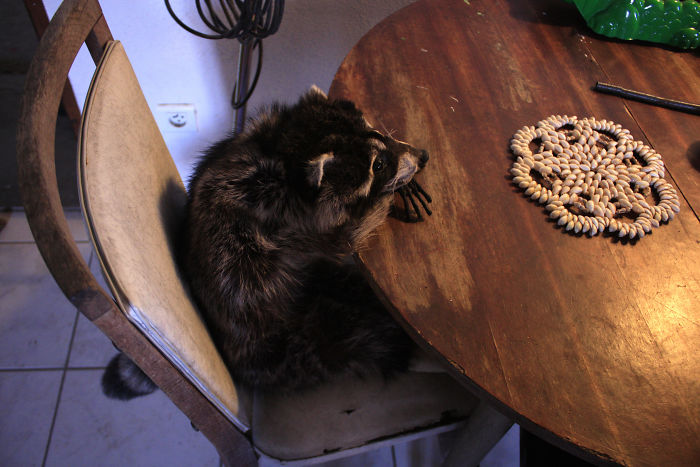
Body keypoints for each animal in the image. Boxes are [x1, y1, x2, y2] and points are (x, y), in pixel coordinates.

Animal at [102, 87, 429, 397]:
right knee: (360, 333)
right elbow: (346, 237)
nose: (422, 156)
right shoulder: (286, 223)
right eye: (379, 165)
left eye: (378, 135)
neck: (285, 155)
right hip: (295, 338)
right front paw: (385, 197)